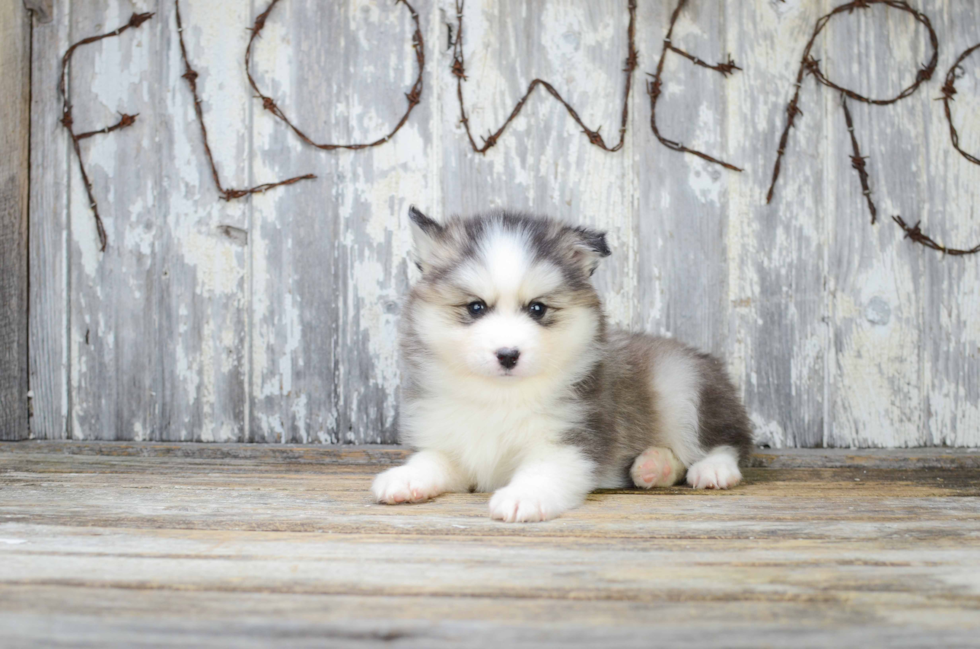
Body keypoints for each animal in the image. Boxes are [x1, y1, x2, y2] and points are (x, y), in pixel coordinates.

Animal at [372, 208, 756, 520]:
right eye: (476, 307)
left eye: (537, 308)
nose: (508, 354)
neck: (499, 398)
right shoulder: (453, 445)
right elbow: (431, 459)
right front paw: (404, 478)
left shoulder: (571, 441)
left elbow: (543, 472)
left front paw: (522, 498)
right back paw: (652, 467)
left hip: (681, 383)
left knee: (729, 440)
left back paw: (713, 469)